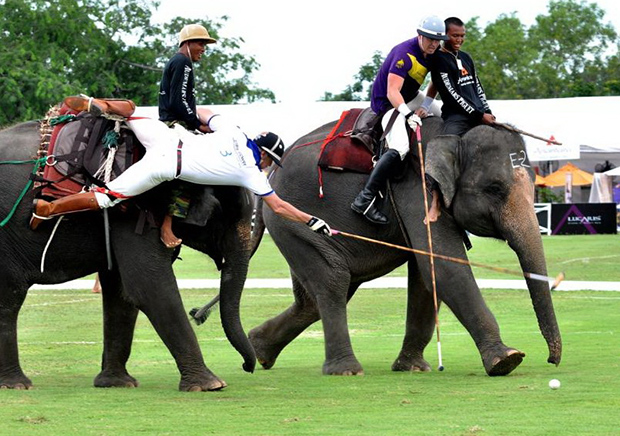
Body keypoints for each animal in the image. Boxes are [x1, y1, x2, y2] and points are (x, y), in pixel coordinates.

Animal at [0, 120, 256, 392]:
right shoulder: (134, 214)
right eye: (224, 213)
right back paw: (16, 384)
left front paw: (117, 383)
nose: (247, 366)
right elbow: (149, 288)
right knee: (10, 296)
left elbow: (121, 292)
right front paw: (211, 385)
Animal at [247, 115, 560, 374]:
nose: (552, 360)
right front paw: (507, 360)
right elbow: (446, 267)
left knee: (314, 299)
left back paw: (258, 349)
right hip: (292, 221)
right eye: (494, 188)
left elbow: (425, 275)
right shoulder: (417, 190)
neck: (452, 135)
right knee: (333, 281)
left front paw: (412, 368)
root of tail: (269, 178)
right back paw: (346, 371)